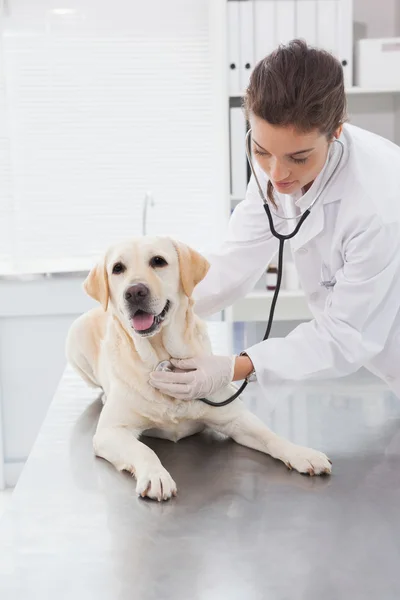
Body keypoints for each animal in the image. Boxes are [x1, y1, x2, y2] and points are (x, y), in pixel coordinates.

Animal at [66, 237, 332, 500]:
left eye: (158, 261)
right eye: (118, 268)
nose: (134, 292)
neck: (160, 353)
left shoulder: (235, 418)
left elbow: (270, 436)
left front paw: (301, 453)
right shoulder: (110, 432)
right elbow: (143, 450)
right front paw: (155, 475)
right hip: (75, 339)